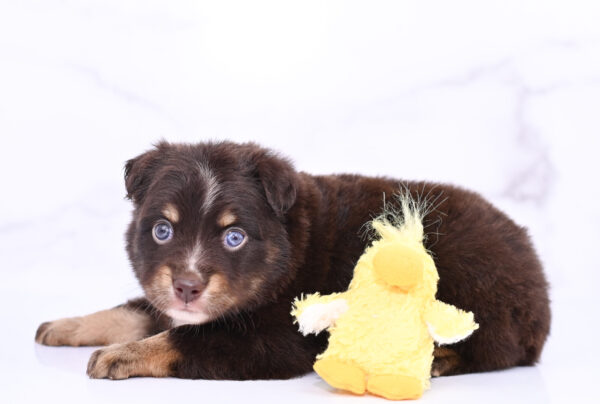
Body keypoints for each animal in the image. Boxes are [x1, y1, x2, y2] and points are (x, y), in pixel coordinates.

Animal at [35, 140, 552, 380]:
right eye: (163, 230)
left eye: (235, 237)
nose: (187, 287)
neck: (289, 250)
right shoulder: (168, 299)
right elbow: (132, 312)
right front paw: (65, 326)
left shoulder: (277, 339)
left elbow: (184, 338)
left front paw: (121, 355)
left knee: (490, 347)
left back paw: (433, 360)